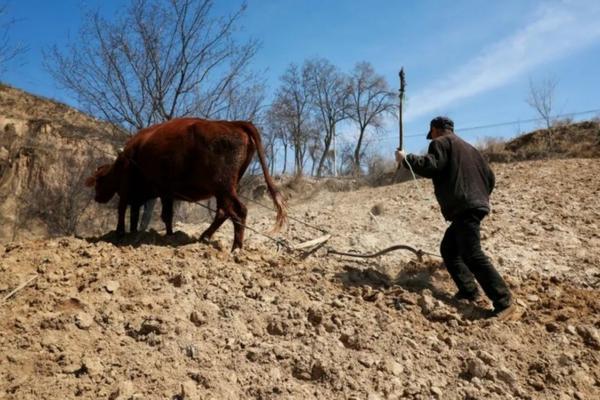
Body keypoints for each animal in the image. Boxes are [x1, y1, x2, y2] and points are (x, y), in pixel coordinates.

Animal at [85, 116, 288, 250]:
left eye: (98, 182)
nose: (96, 198)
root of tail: (232, 123)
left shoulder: (132, 192)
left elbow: (124, 211)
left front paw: (121, 234)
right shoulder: (162, 193)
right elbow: (153, 216)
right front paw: (164, 235)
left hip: (224, 186)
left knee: (239, 211)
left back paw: (236, 248)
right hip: (224, 189)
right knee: (223, 212)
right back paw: (205, 237)